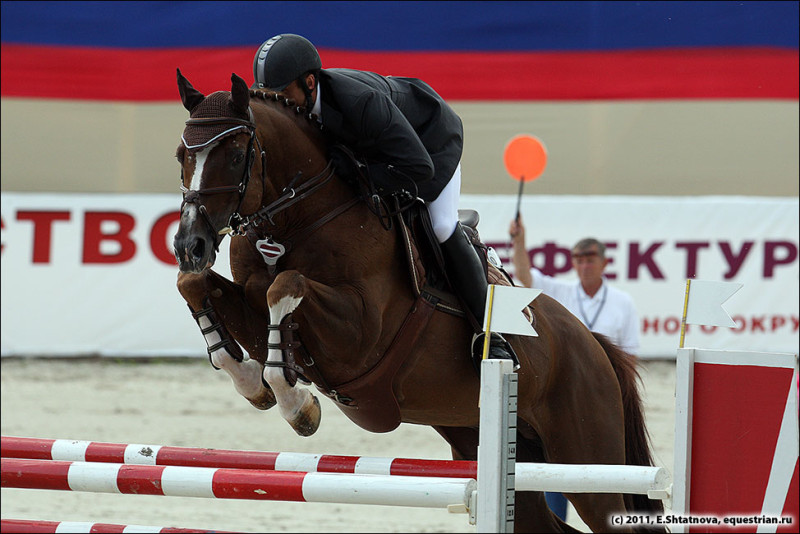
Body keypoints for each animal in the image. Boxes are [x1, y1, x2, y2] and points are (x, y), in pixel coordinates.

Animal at [173, 71, 664, 534]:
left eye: (236, 155)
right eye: (182, 156)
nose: (189, 244)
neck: (296, 218)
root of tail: (593, 342)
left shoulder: (360, 335)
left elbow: (285, 286)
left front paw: (298, 406)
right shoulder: (256, 307)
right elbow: (195, 285)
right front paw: (252, 382)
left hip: (586, 459)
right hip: (492, 446)